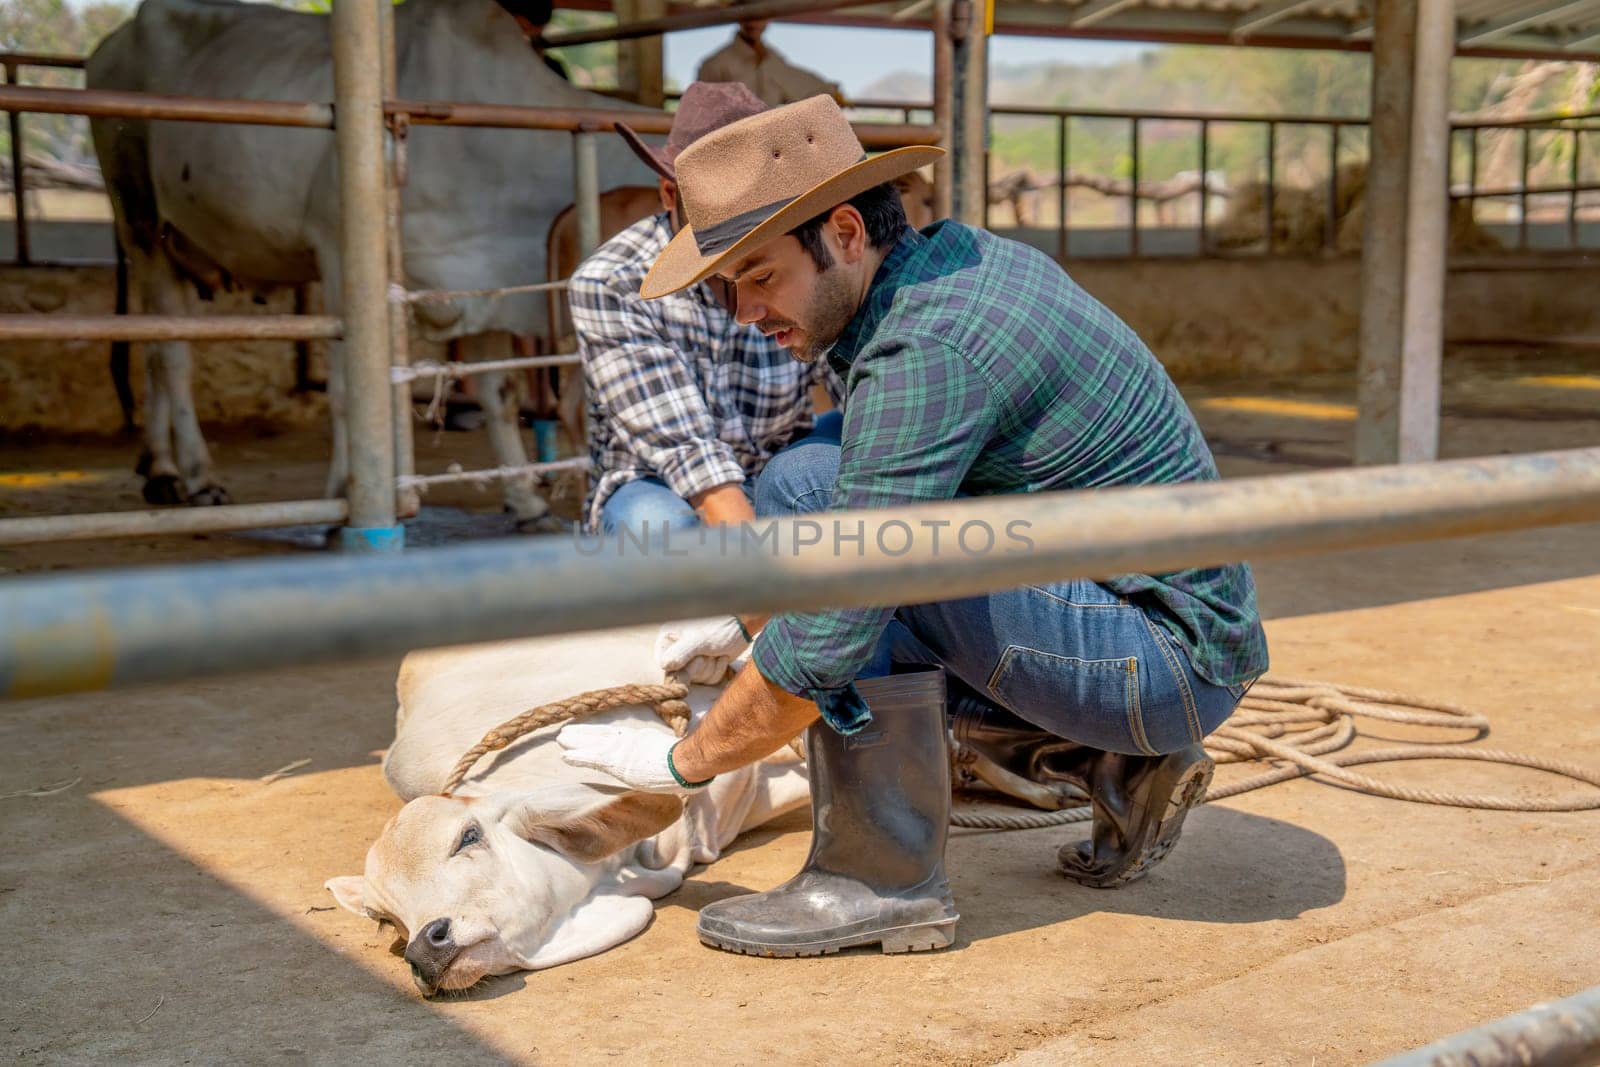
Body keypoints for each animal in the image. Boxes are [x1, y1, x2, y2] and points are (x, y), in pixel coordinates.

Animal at [86, 0, 649, 531]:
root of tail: (112, 41)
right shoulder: (340, 253)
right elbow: (347, 389)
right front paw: (343, 494)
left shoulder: (477, 287)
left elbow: (500, 394)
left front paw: (527, 503)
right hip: (140, 221)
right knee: (171, 355)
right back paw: (197, 476)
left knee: (154, 348)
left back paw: (159, 467)